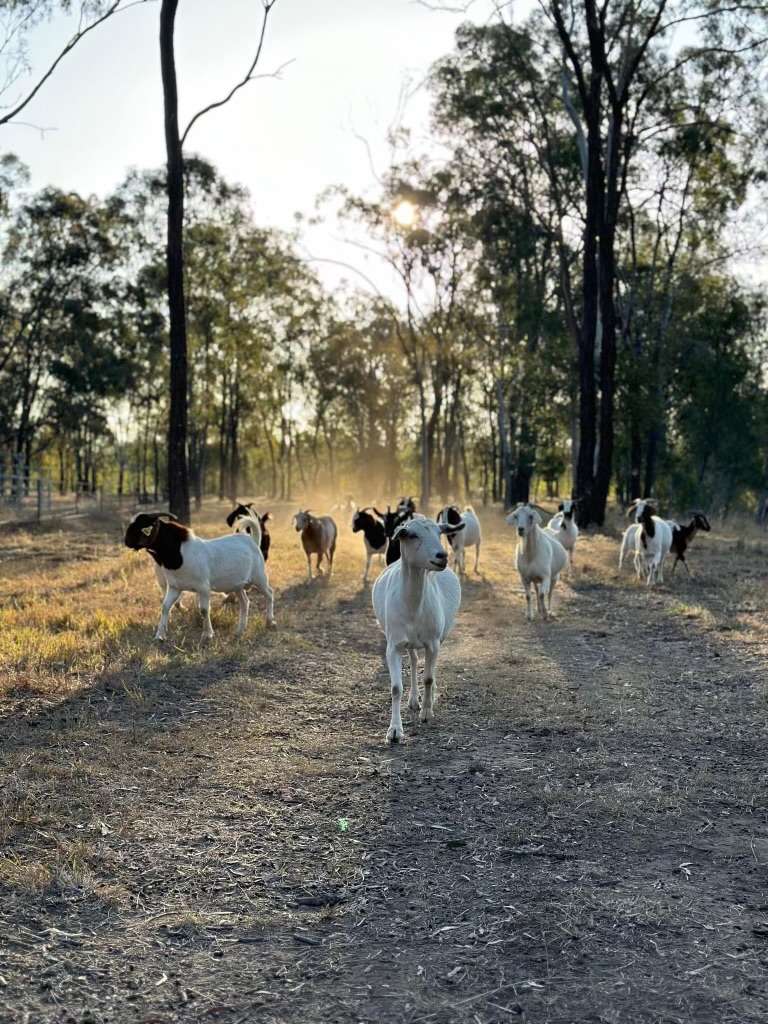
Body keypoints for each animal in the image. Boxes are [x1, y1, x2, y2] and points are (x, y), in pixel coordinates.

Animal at [125, 512, 275, 641]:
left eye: (143, 527)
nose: (126, 541)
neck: (181, 552)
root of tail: (253, 541)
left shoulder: (203, 588)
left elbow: (203, 610)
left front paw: (207, 634)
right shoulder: (174, 587)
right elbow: (165, 606)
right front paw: (160, 635)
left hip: (259, 577)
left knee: (269, 593)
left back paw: (269, 622)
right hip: (237, 584)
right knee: (244, 602)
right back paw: (240, 630)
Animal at [372, 516, 464, 743]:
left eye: (439, 532)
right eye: (412, 535)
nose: (442, 556)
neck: (413, 605)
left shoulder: (433, 643)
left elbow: (428, 678)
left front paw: (427, 713)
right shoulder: (393, 646)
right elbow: (396, 688)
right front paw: (395, 731)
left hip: (439, 637)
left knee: (429, 668)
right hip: (409, 642)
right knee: (413, 661)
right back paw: (414, 699)